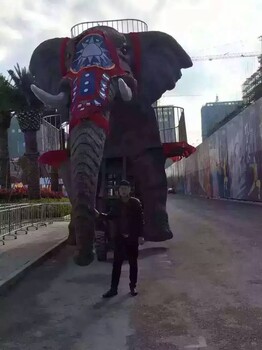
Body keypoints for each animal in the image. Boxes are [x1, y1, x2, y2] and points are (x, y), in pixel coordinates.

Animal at [29, 25, 192, 266]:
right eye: (67, 56)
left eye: (124, 50)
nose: (81, 259)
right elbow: (74, 174)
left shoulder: (143, 117)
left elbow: (150, 165)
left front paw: (157, 235)